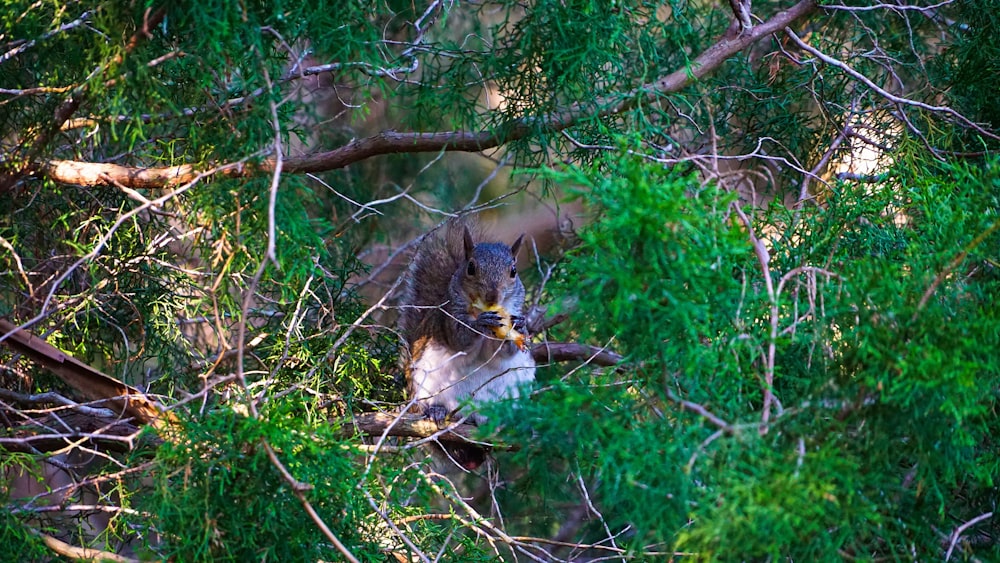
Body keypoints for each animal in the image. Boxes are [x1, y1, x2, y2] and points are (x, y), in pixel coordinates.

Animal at [400, 221, 540, 472]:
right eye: (471, 268)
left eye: (513, 271)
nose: (492, 295)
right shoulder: (446, 320)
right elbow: (460, 339)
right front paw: (480, 323)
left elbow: (505, 351)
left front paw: (521, 326)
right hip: (423, 384)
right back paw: (436, 411)